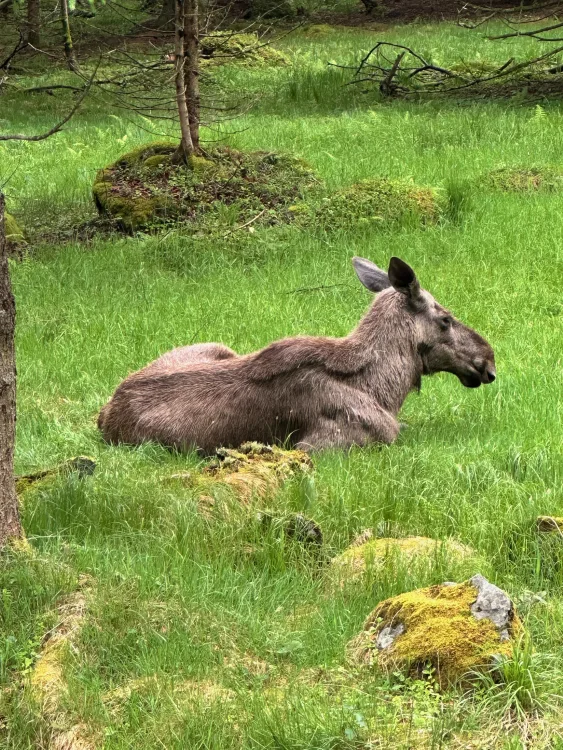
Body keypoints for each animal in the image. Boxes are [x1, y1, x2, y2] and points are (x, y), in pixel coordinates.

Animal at [99, 260, 496, 452]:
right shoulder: (323, 445)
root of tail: (104, 415)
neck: (385, 390)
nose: (488, 360)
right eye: (445, 319)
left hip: (216, 346)